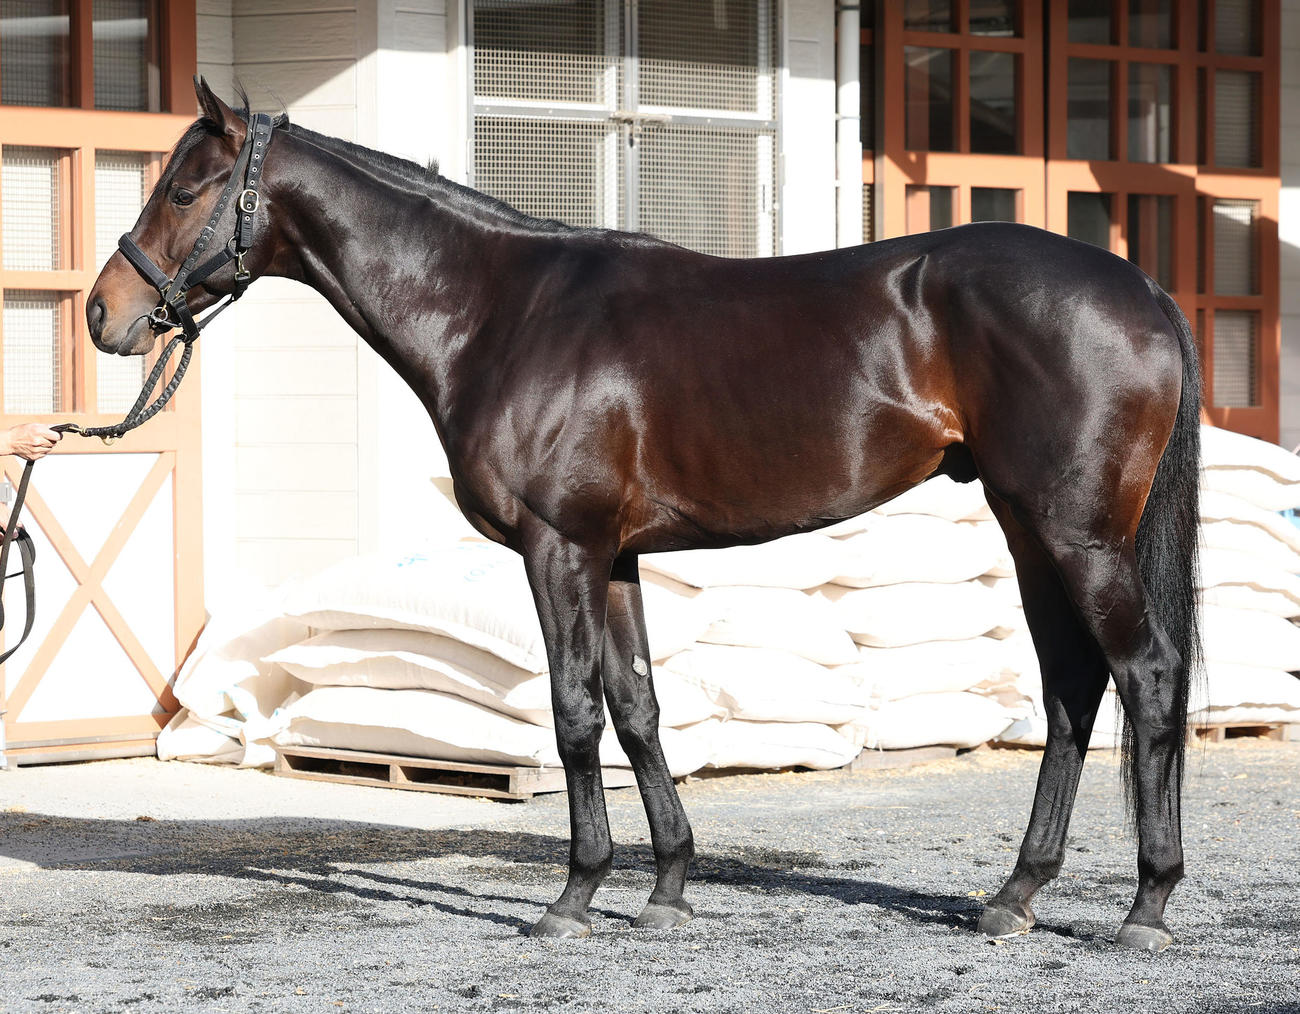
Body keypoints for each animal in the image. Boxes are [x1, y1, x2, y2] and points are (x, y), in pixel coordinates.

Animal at [87, 78, 1201, 951]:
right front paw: (665, 888)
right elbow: (637, 708)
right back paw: (1014, 896)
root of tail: (1142, 286)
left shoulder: (558, 550)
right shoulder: (613, 557)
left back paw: (1144, 907)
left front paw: (573, 898)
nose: (104, 313)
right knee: (1070, 689)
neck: (501, 313)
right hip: (1031, 529)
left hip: (1074, 536)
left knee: (1143, 674)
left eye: (184, 187)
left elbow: (575, 714)